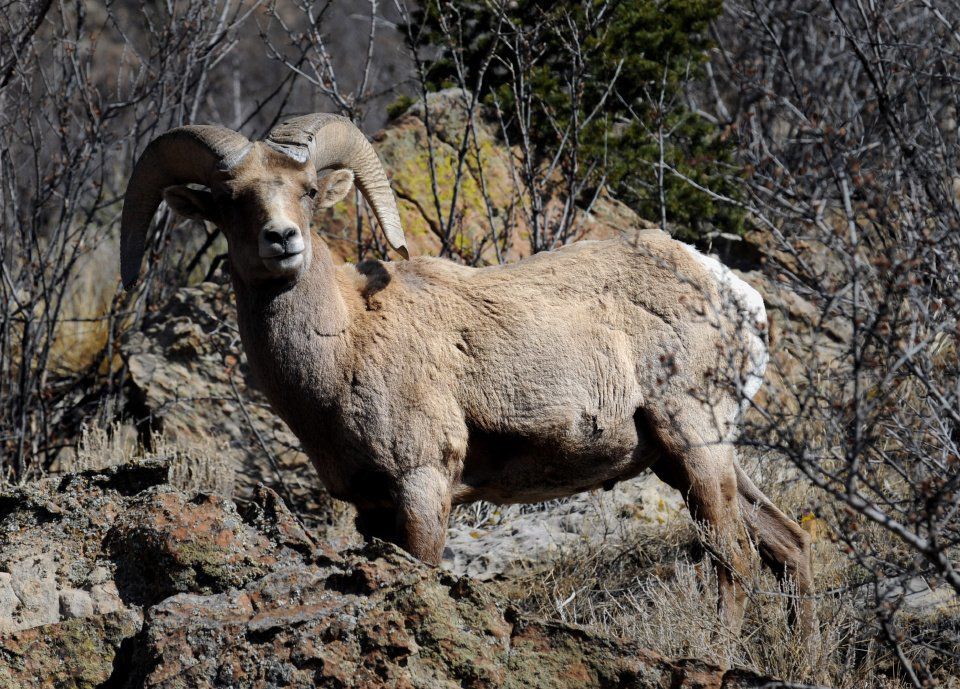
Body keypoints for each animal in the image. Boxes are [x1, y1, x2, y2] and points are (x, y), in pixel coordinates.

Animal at [119, 113, 814, 636]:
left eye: (309, 192)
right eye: (230, 202)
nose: (283, 240)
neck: (345, 347)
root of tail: (733, 292)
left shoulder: (423, 486)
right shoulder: (373, 510)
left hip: (694, 443)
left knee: (736, 558)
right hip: (689, 457)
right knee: (789, 546)